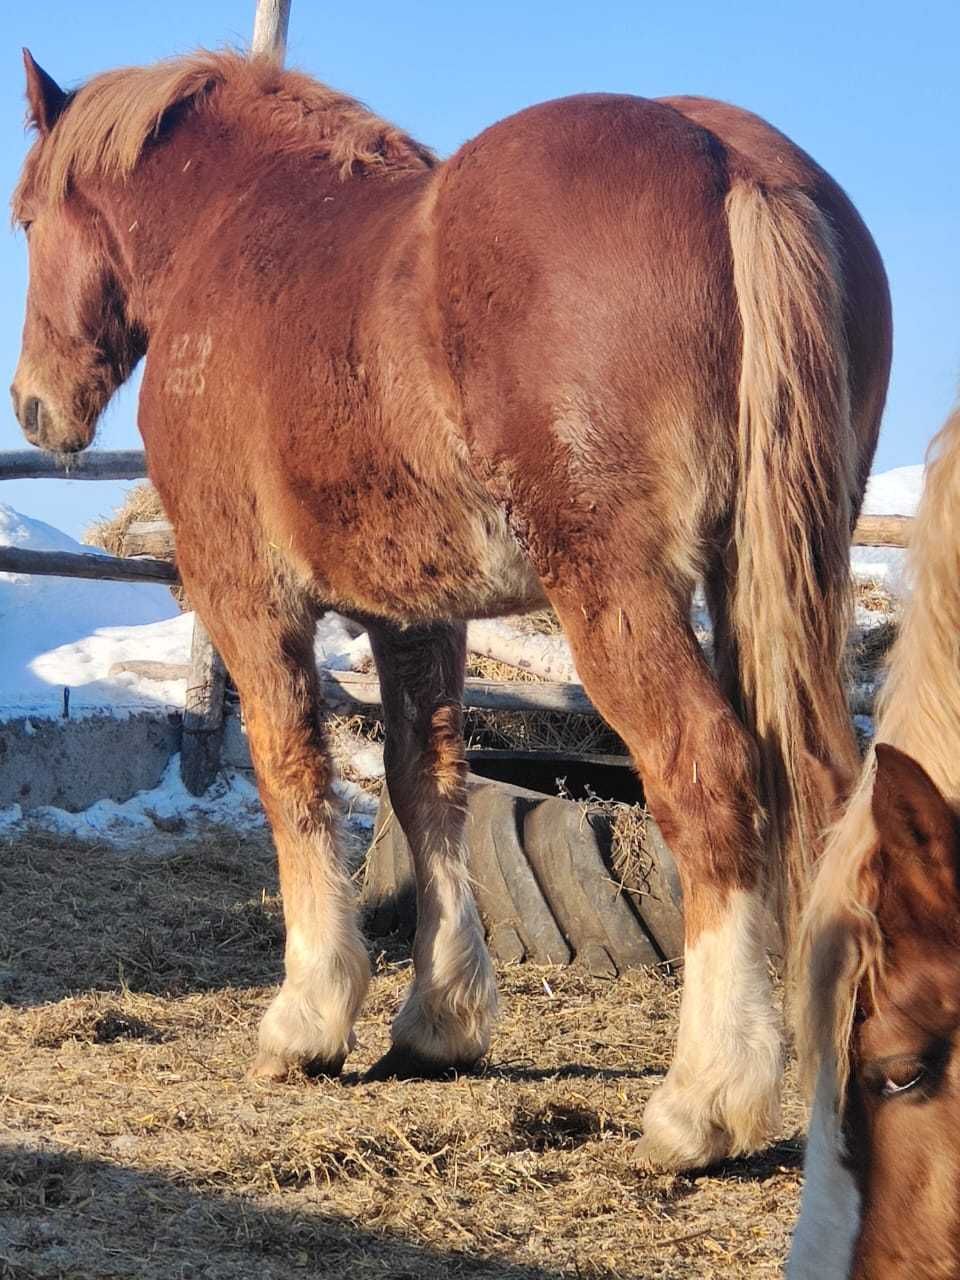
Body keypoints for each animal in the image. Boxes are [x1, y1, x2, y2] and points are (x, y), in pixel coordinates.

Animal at [9, 49, 896, 1172]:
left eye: (26, 217)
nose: (34, 406)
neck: (237, 232)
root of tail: (731, 162)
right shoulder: (417, 611)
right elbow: (426, 784)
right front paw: (440, 1019)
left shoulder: (246, 595)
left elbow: (292, 775)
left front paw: (308, 1020)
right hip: (773, 575)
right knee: (818, 780)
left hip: (617, 588)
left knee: (709, 773)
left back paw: (704, 1100)